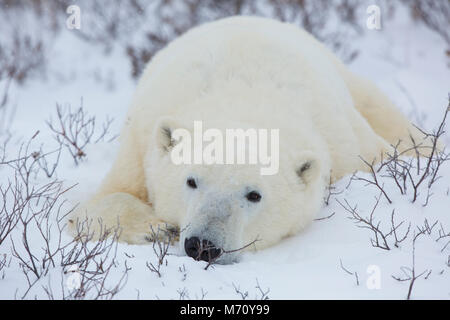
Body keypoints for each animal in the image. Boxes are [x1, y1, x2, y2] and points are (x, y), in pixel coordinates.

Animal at [69, 16, 426, 264]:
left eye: (254, 195)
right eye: (191, 181)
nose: (203, 245)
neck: (243, 98)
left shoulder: (344, 144)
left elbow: (384, 158)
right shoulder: (141, 140)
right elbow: (98, 202)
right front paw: (156, 227)